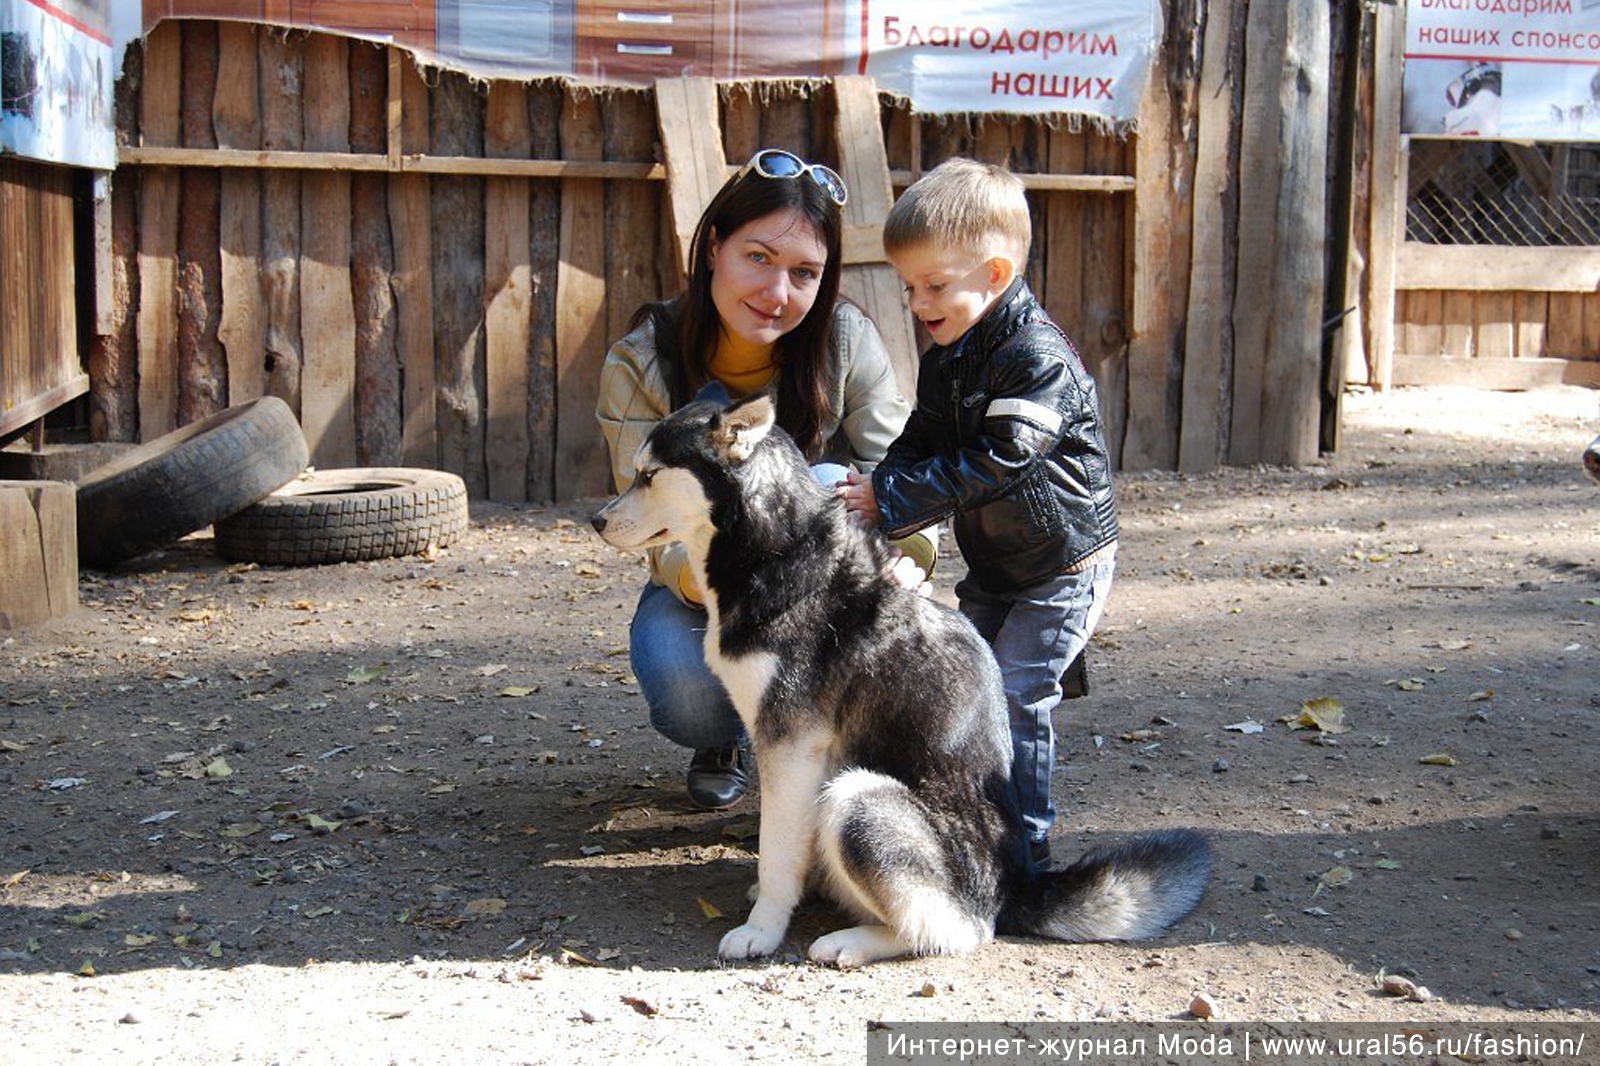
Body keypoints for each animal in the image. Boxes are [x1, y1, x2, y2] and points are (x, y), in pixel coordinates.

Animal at [592, 393, 1209, 966]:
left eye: (650, 475)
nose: (596, 520)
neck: (776, 553)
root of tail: (1014, 888)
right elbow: (787, 844)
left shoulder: (790, 745)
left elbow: (775, 851)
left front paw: (763, 927)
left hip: (856, 798)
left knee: (957, 932)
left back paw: (850, 941)